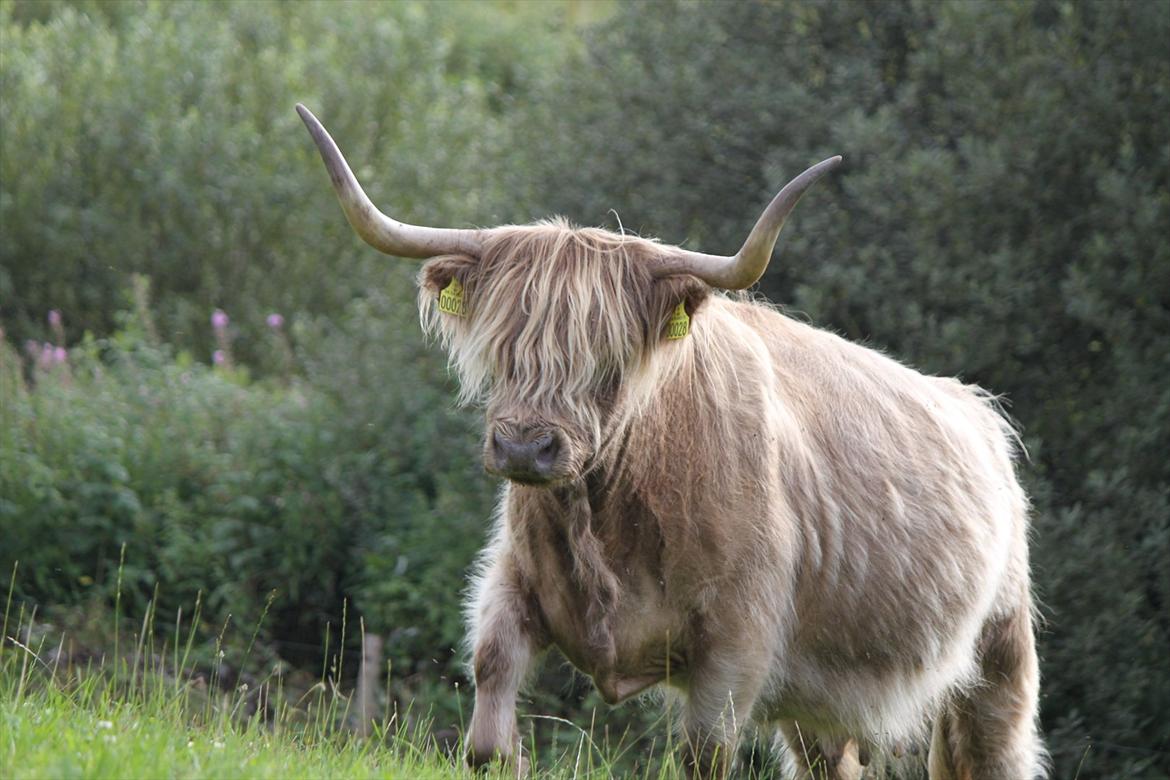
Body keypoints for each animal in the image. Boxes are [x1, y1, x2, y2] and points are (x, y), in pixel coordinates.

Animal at [297, 104, 1045, 779]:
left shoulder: (737, 645)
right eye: (504, 349)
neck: (607, 520)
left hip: (999, 657)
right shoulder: (512, 582)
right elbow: (487, 711)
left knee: (994, 750)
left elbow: (703, 754)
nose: (525, 449)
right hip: (821, 696)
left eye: (608, 358)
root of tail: (979, 411)